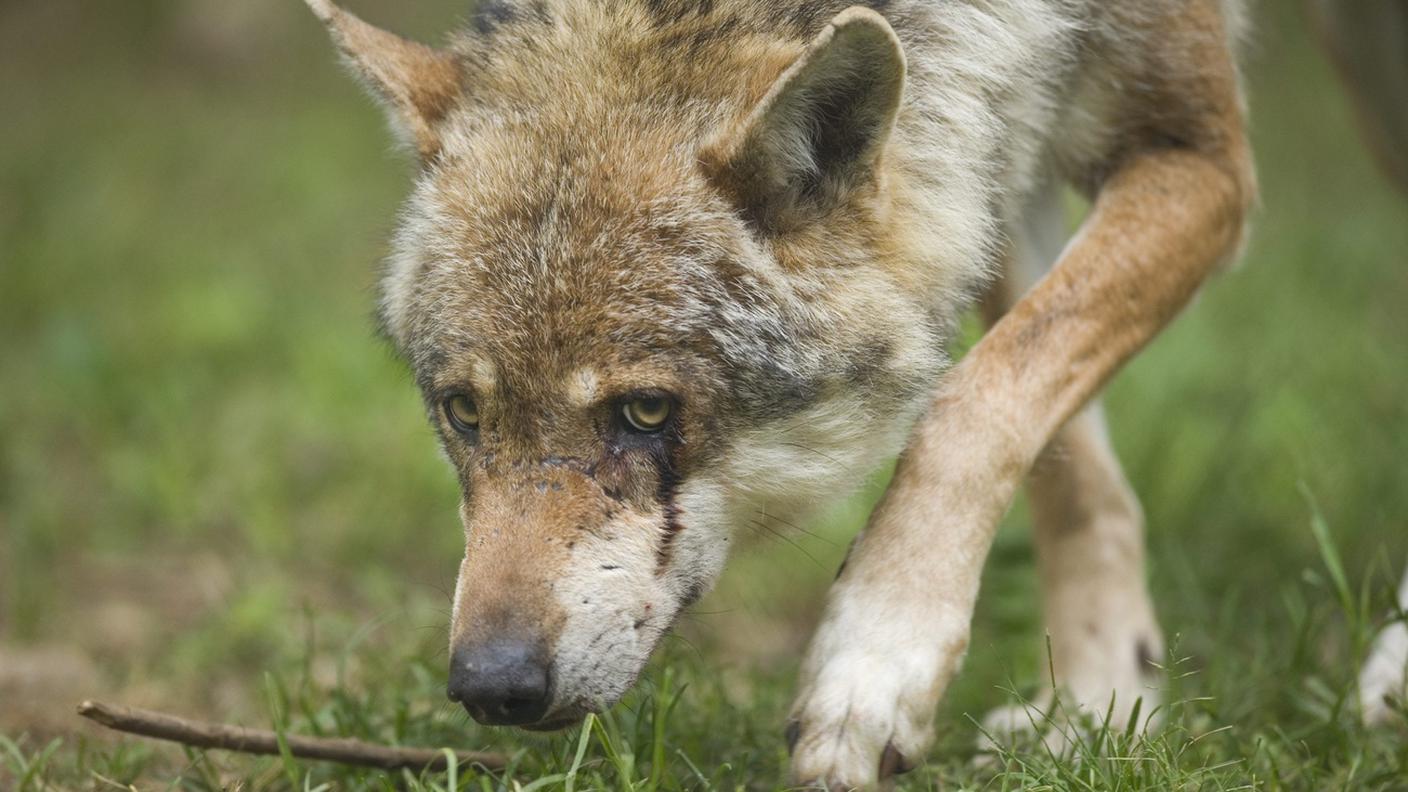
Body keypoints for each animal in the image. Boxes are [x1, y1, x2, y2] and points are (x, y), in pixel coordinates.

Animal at [297, 0, 1396, 777]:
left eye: (645, 412)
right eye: (463, 412)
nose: (490, 685)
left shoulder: (1193, 155)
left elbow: (974, 403)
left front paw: (871, 667)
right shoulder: (987, 164)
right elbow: (1072, 474)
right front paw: (1097, 709)